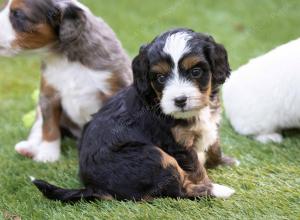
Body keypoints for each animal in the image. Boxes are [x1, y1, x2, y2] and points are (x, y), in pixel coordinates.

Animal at [0, 0, 132, 162]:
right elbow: (49, 126)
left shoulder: (114, 87)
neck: (63, 56)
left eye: (18, 14)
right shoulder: (48, 94)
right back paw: (29, 148)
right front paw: (47, 155)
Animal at [31, 28, 236, 203]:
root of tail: (96, 188)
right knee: (177, 189)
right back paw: (218, 191)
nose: (179, 100)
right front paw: (206, 181)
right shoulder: (179, 145)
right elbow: (196, 168)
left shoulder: (210, 123)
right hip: (153, 156)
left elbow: (214, 146)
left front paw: (224, 161)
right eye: (160, 78)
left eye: (196, 71)